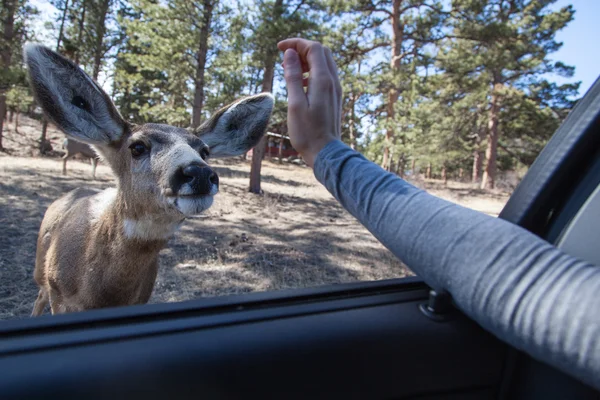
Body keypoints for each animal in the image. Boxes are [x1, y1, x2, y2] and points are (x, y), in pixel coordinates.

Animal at [25, 43, 274, 316]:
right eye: (137, 147)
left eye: (205, 151)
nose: (198, 173)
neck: (99, 294)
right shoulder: (60, 296)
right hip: (41, 273)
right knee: (38, 297)